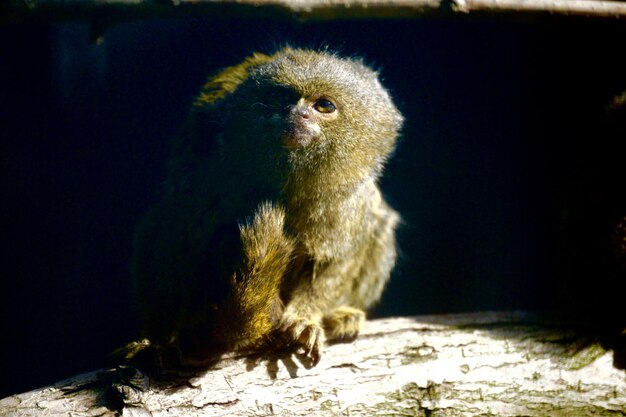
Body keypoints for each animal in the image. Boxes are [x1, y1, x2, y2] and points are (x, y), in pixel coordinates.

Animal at [124, 48, 402, 368]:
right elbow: (170, 240)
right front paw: (159, 341)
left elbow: (337, 262)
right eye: (284, 98)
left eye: (324, 105)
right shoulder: (208, 183)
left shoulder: (349, 206)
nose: (298, 114)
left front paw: (304, 318)